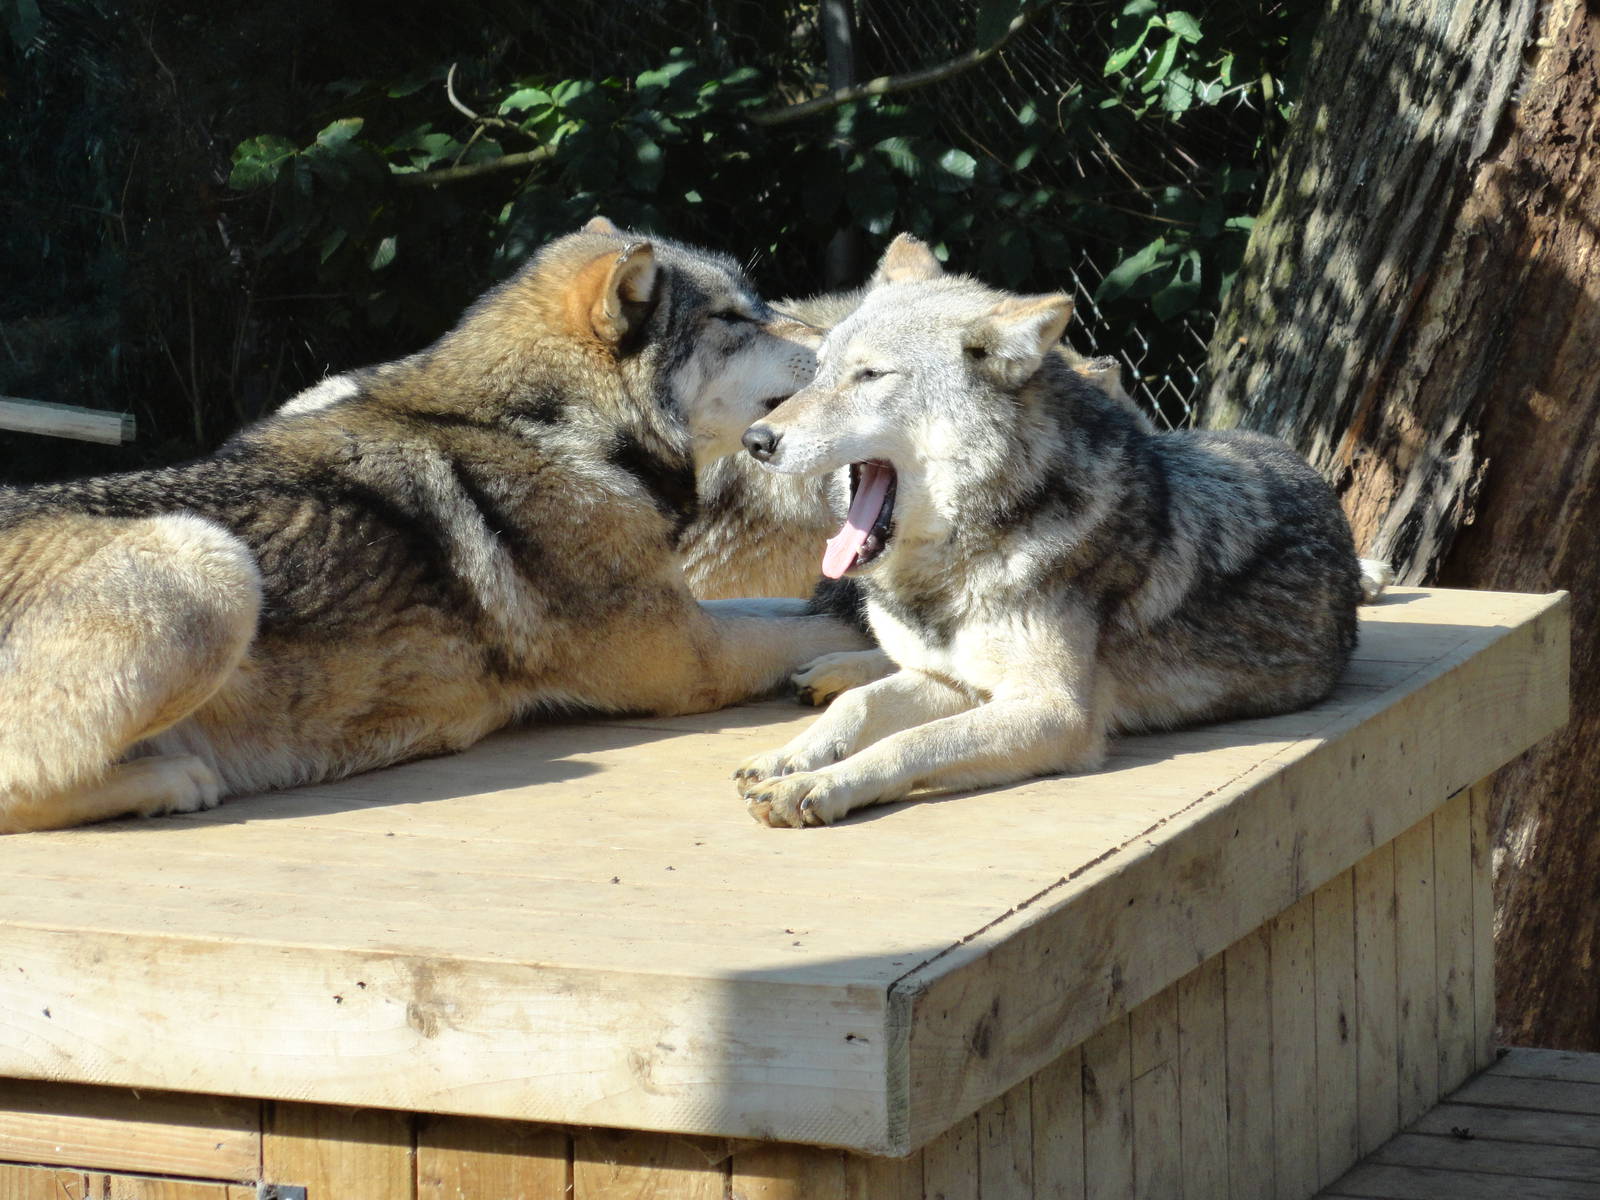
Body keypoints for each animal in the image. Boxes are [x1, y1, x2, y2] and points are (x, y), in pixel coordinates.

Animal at [0, 222, 868, 833]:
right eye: (734, 319)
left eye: (762, 306)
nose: (844, 338)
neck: (556, 429)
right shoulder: (691, 658)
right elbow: (791, 629)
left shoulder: (691, 611)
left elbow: (791, 608)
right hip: (208, 562)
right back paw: (168, 783)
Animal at [731, 272, 1372, 828]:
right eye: (818, 372)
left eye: (871, 375)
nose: (755, 440)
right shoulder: (961, 683)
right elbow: (860, 708)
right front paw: (788, 758)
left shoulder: (1055, 712)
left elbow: (911, 741)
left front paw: (816, 784)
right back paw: (830, 671)